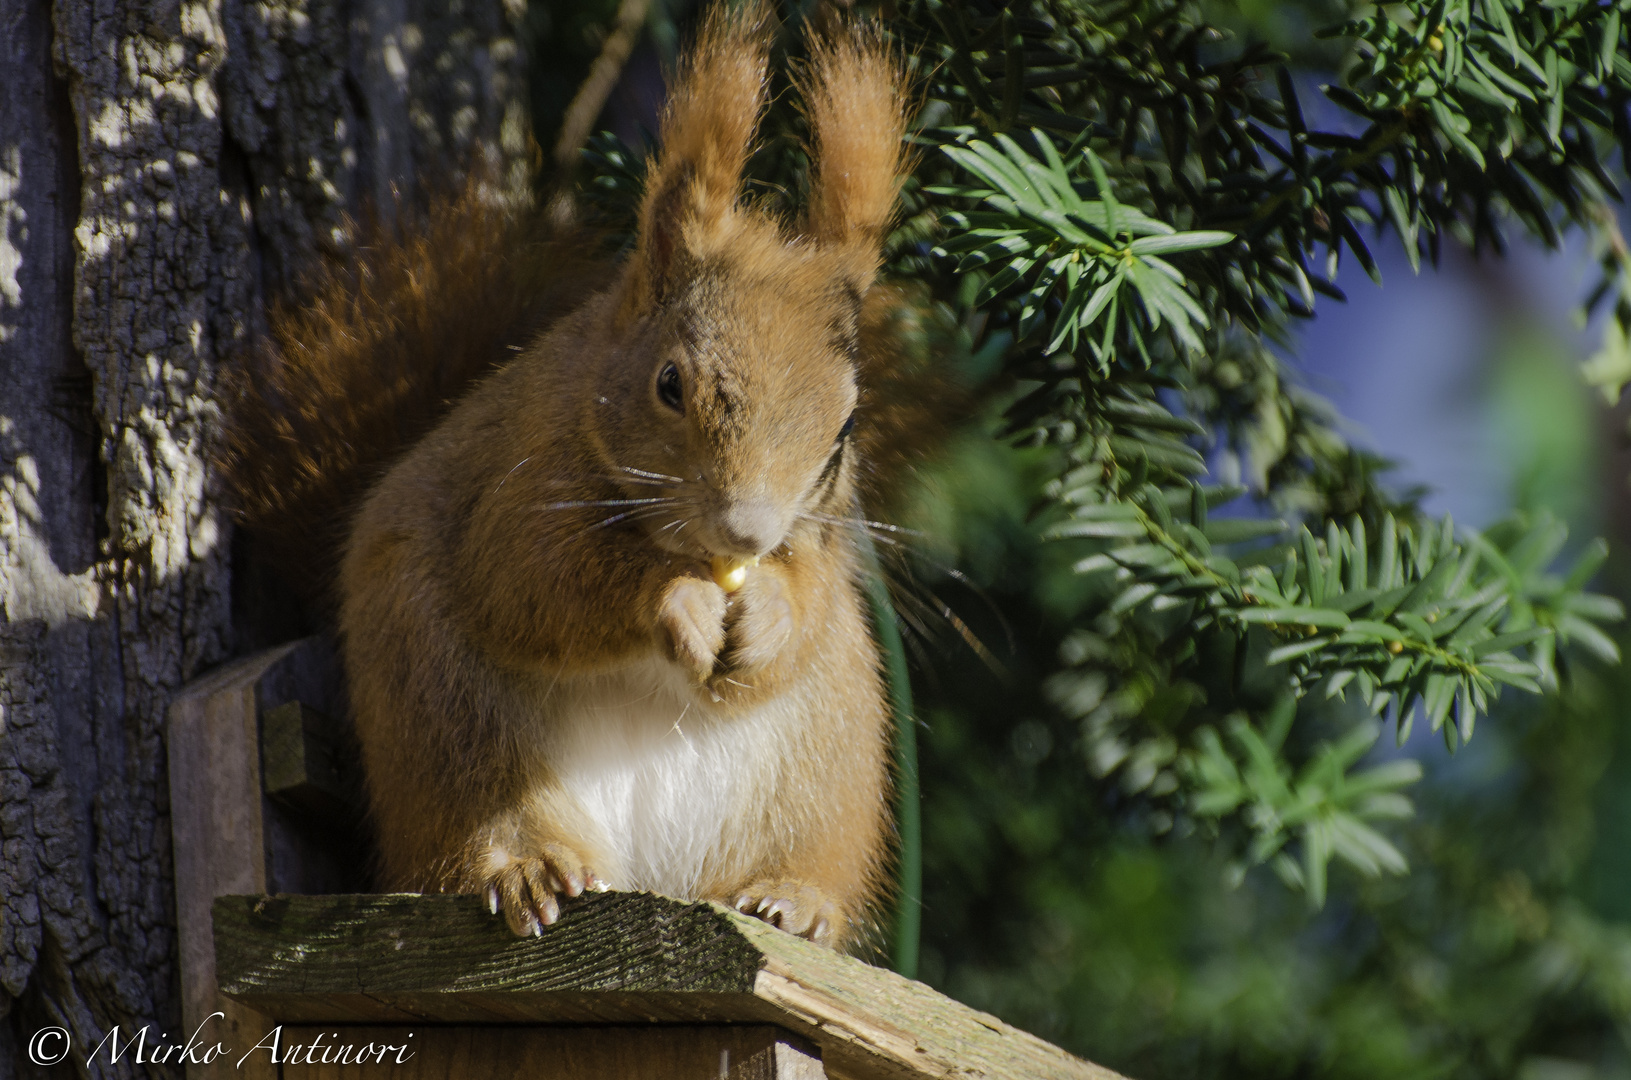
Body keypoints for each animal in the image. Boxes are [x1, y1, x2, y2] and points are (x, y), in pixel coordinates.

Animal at [226, 4, 919, 952]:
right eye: (670, 384)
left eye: (845, 431)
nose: (746, 529)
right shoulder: (511, 487)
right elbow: (535, 584)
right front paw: (677, 603)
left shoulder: (820, 549)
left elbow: (807, 606)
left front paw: (770, 616)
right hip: (441, 711)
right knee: (479, 821)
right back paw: (527, 868)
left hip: (831, 753)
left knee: (807, 843)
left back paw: (790, 896)